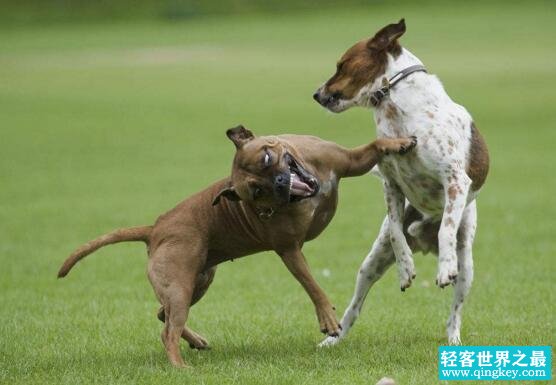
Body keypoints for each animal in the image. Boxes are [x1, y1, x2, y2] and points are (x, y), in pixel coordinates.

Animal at [58, 126, 414, 366]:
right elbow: (312, 285)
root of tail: (156, 228)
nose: (280, 182)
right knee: (167, 330)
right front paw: (327, 317)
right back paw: (180, 367)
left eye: (268, 157)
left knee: (163, 316)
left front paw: (399, 142)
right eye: (257, 192)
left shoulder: (351, 161)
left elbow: (375, 145)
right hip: (181, 286)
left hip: (197, 282)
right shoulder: (290, 251)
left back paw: (196, 342)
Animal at [314, 18, 488, 344]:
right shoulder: (391, 185)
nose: (316, 94)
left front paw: (444, 269)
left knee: (454, 312)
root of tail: (425, 242)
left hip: (467, 266)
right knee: (354, 307)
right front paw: (405, 268)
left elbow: (447, 228)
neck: (396, 109)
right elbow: (396, 231)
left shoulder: (456, 180)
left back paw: (453, 338)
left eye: (342, 65)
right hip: (371, 263)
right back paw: (333, 339)